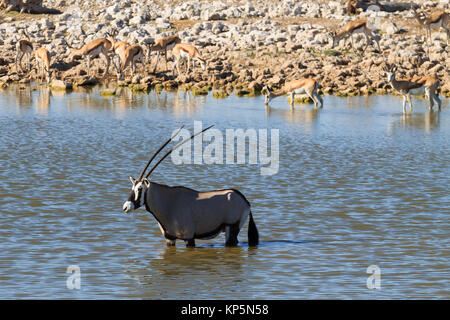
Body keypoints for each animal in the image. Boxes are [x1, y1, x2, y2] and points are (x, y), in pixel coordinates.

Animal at [121, 125, 258, 248]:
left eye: (140, 188)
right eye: (132, 188)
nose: (125, 207)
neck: (168, 202)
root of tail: (245, 200)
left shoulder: (189, 238)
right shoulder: (170, 239)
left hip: (232, 228)